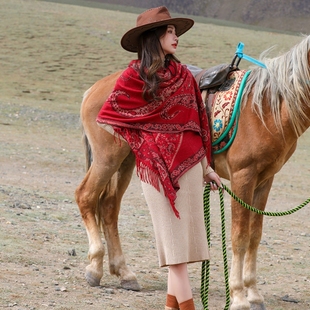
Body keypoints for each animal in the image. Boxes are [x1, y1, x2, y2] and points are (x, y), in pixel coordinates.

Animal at [75, 35, 310, 308]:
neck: (267, 108)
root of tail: (94, 88)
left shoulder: (265, 179)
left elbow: (255, 236)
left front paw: (254, 294)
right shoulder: (244, 176)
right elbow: (240, 237)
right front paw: (239, 296)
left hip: (127, 161)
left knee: (109, 206)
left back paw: (124, 273)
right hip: (107, 158)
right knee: (86, 196)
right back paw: (94, 270)